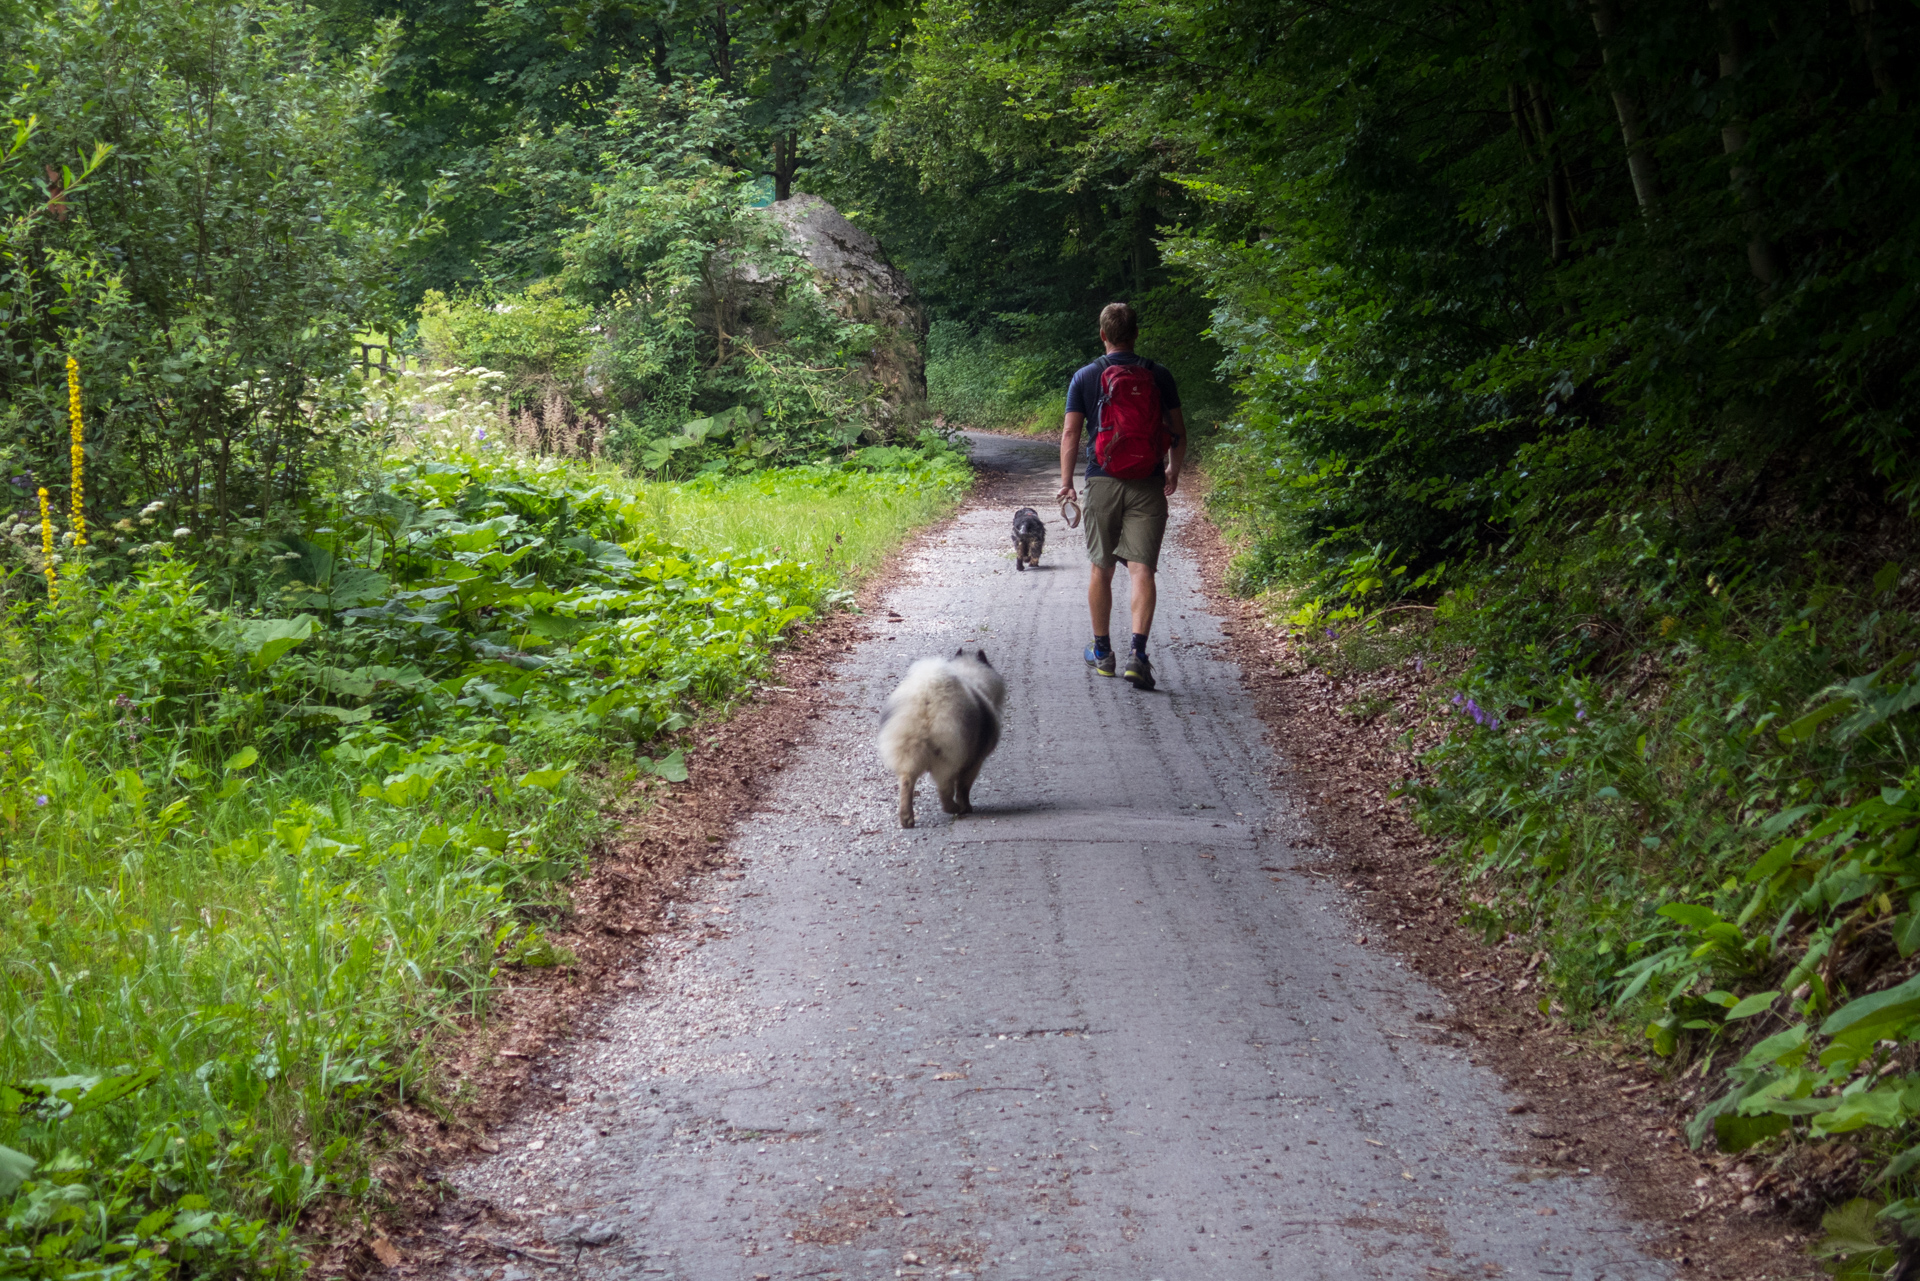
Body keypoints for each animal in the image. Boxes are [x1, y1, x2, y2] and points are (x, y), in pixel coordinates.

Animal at [879, 652, 1013, 833]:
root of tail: (927, 699)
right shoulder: (974, 762)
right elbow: (964, 788)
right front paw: (967, 806)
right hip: (947, 758)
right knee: (945, 791)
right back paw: (957, 808)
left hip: (910, 754)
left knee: (907, 783)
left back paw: (907, 819)